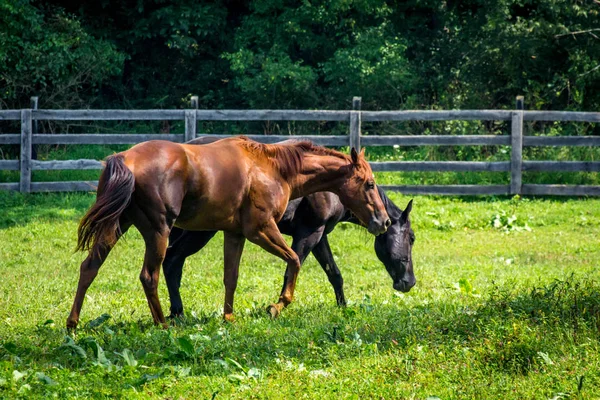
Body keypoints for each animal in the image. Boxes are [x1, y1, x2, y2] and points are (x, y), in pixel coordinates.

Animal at [68, 138, 392, 328]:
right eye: (369, 184)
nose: (384, 221)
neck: (275, 168)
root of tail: (125, 158)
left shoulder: (234, 234)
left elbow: (231, 277)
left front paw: (229, 316)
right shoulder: (262, 230)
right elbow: (294, 262)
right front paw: (277, 306)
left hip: (117, 227)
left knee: (89, 267)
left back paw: (73, 324)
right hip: (159, 232)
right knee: (150, 276)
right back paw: (162, 323)